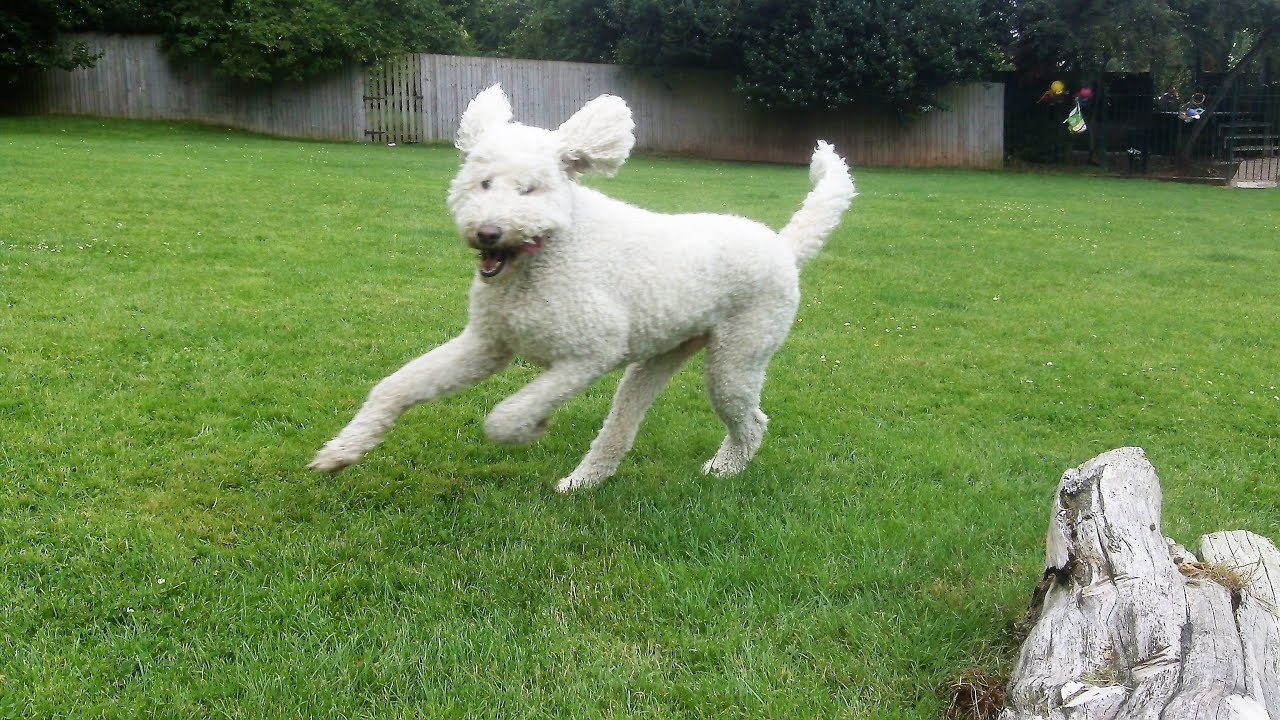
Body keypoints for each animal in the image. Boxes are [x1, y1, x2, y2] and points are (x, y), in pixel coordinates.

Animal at [305, 82, 855, 486]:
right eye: (483, 183)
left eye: (529, 189)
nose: (488, 232)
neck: (548, 253)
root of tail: (783, 245)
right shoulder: (487, 345)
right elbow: (394, 387)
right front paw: (342, 451)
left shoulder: (590, 354)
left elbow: (503, 416)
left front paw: (530, 428)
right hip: (658, 358)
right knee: (622, 425)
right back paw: (586, 481)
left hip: (737, 358)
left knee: (752, 420)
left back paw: (724, 469)